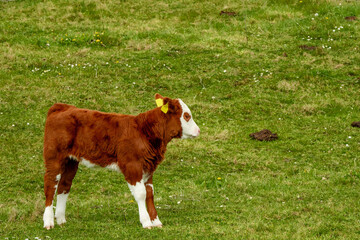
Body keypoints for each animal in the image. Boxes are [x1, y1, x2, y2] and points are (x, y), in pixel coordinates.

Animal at [43, 93, 200, 229]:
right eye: (186, 116)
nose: (198, 131)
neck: (144, 131)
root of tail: (63, 107)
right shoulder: (132, 165)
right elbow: (141, 194)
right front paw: (146, 222)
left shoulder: (148, 168)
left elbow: (150, 193)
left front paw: (156, 221)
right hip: (54, 157)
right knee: (51, 185)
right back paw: (48, 222)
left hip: (71, 161)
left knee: (64, 185)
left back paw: (61, 220)